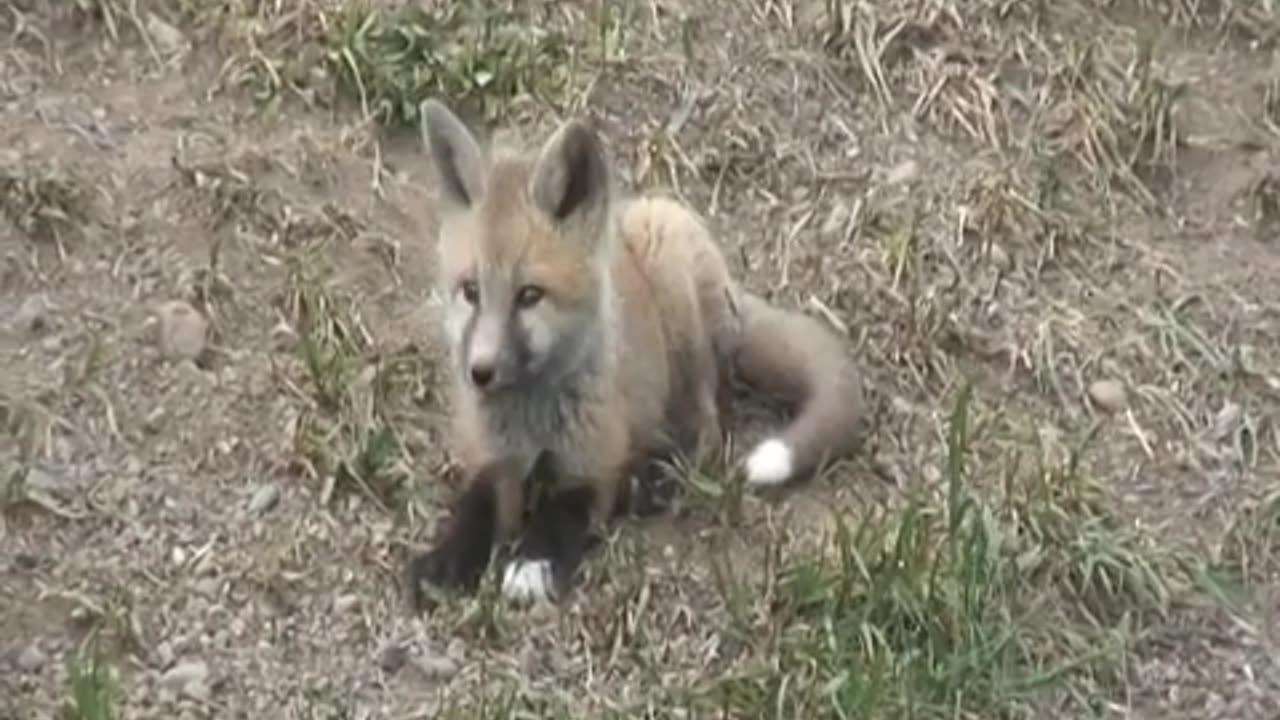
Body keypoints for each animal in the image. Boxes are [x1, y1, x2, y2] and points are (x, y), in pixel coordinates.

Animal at [404, 99, 865, 604]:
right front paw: (448, 561)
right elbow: (476, 510)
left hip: (669, 272)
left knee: (706, 433)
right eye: (470, 291)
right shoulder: (492, 459)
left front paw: (532, 565)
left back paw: (649, 483)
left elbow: (562, 515)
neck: (534, 420)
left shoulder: (593, 464)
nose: (480, 372)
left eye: (529, 295)